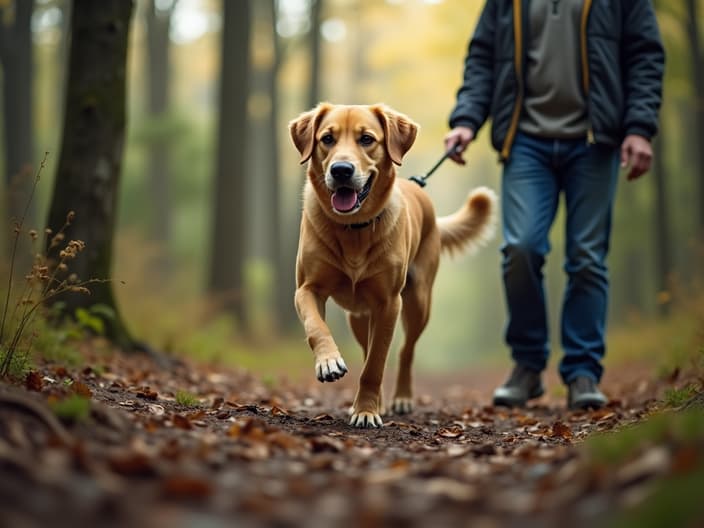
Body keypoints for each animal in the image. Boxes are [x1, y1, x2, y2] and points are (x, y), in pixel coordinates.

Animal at [288, 104, 498, 428]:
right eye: (326, 139)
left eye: (366, 139)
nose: (341, 170)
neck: (354, 229)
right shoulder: (307, 288)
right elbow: (316, 326)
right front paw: (328, 362)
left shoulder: (389, 303)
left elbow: (376, 364)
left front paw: (365, 411)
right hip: (358, 316)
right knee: (366, 347)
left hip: (418, 303)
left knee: (403, 351)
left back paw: (399, 399)